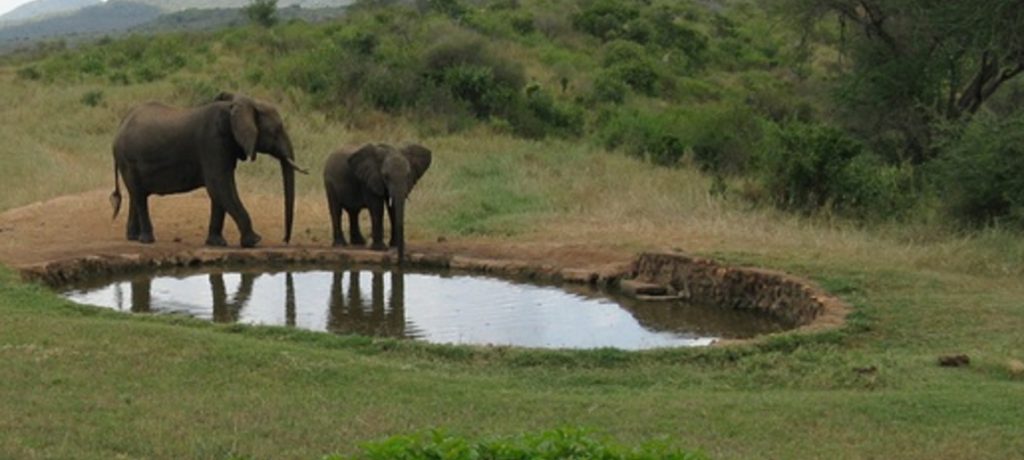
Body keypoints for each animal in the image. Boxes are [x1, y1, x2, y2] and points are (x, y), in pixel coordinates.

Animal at [111, 91, 305, 245]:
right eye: (277, 130)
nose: (285, 240)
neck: (235, 107)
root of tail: (120, 126)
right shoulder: (212, 142)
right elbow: (220, 186)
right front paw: (254, 241)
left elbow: (220, 191)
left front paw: (217, 243)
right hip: (128, 160)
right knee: (139, 196)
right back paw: (147, 240)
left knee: (136, 195)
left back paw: (133, 238)